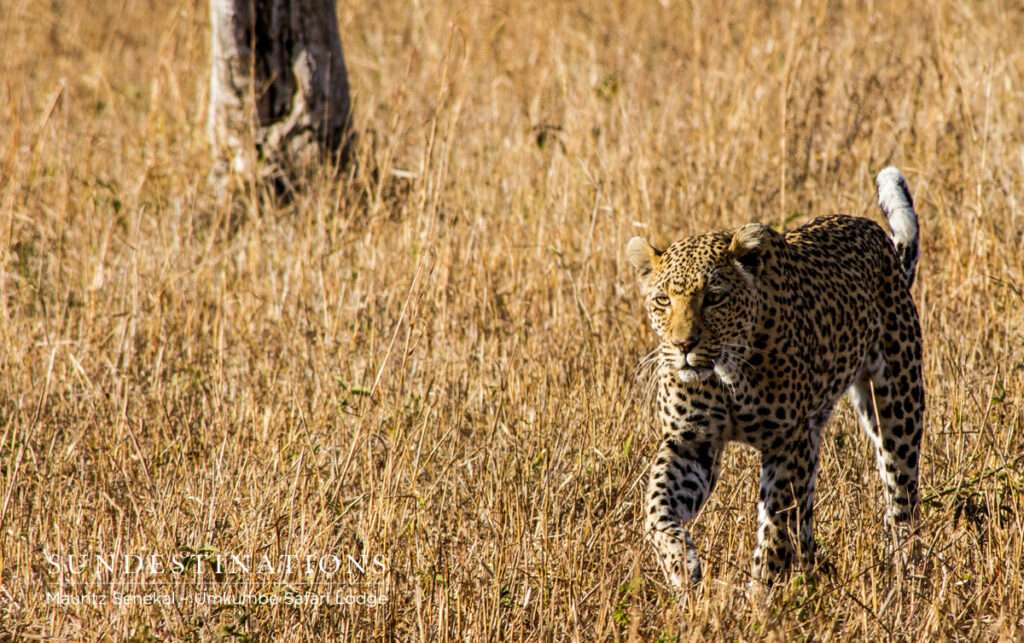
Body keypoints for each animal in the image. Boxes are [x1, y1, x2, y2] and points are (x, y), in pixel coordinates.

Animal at [626, 167, 924, 589]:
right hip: (813, 433)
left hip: (898, 406)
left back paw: (907, 573)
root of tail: (877, 237)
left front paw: (760, 596)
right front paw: (682, 568)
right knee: (808, 515)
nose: (683, 344)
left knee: (902, 496)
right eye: (663, 300)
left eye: (714, 298)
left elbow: (776, 530)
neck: (726, 375)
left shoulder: (786, 444)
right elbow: (656, 507)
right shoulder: (690, 441)